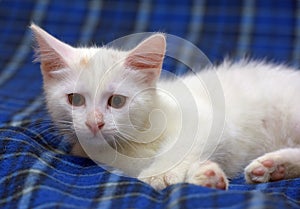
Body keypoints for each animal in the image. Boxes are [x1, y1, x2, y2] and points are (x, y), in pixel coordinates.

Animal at [31, 23, 300, 190]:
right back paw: (273, 168)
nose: (94, 123)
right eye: (75, 99)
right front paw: (207, 176)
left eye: (117, 101)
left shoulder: (205, 117)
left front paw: (160, 174)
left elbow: (185, 144)